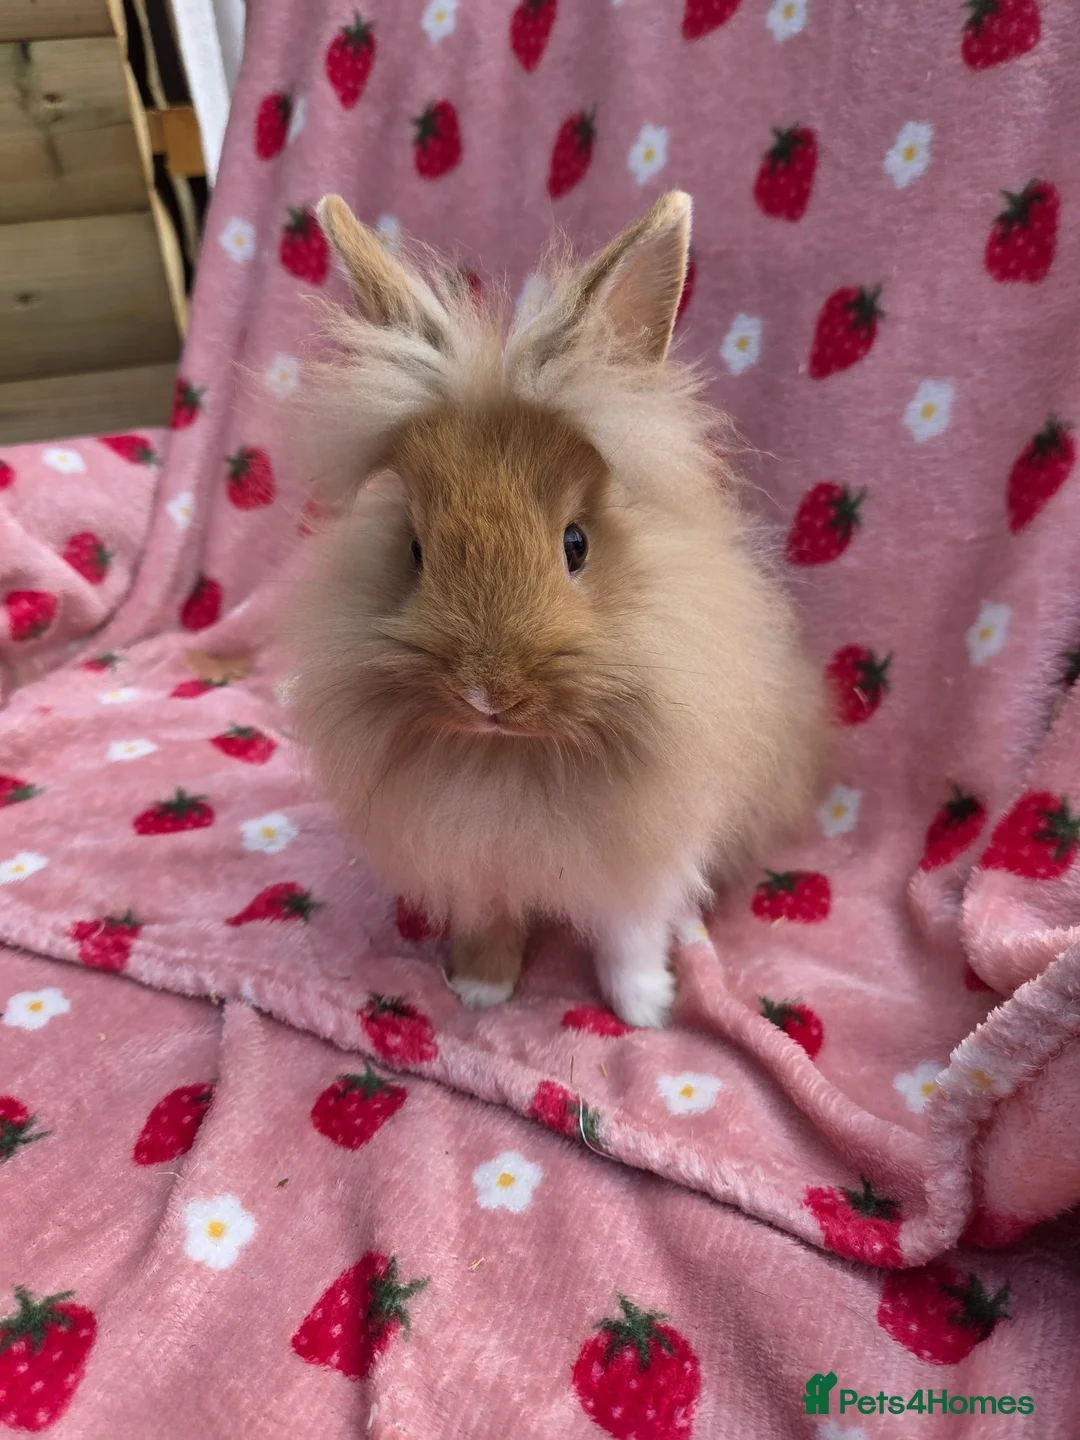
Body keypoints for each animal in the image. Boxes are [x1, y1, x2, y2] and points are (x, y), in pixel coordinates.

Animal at [285, 189, 827, 1029]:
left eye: (576, 544)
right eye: (414, 549)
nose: (486, 693)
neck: (514, 757)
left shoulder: (643, 856)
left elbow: (630, 936)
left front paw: (646, 1010)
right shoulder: (475, 861)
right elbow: (490, 924)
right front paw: (479, 990)